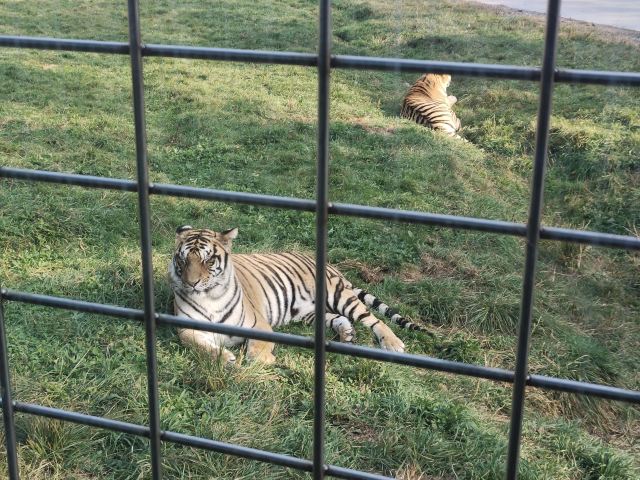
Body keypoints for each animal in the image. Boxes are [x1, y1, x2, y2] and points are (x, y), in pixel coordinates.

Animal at [168, 225, 429, 364]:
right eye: (183, 259)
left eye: (209, 260)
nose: (191, 283)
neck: (209, 297)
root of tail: (328, 264)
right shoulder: (186, 330)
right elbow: (199, 346)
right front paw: (226, 359)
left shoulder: (259, 326)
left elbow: (257, 353)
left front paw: (264, 360)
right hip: (307, 312)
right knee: (337, 318)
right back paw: (347, 335)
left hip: (338, 295)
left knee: (373, 319)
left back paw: (393, 344)